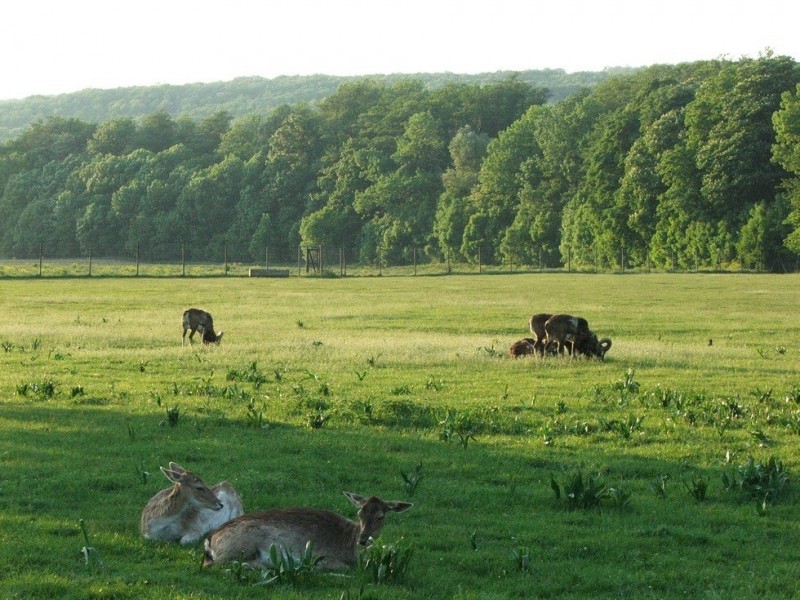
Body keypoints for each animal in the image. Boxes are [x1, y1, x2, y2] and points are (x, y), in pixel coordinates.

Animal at [202, 492, 412, 572]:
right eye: (359, 512)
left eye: (381, 516)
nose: (363, 539)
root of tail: (209, 540)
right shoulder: (321, 555)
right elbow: (341, 567)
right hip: (242, 543)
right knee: (215, 564)